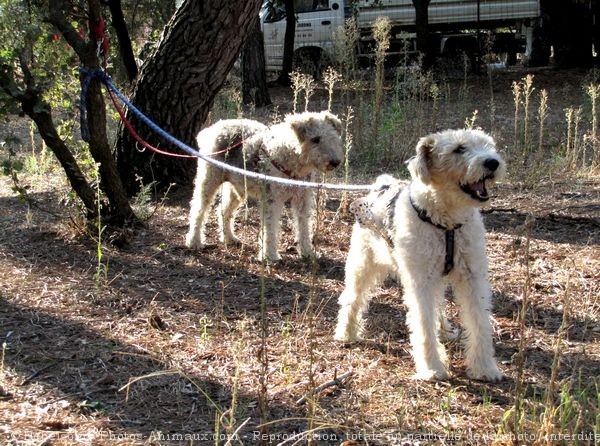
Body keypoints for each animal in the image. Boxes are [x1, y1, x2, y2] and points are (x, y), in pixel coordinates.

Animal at [185, 111, 344, 262]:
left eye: (333, 137)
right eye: (315, 139)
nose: (335, 162)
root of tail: (211, 130)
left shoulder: (302, 199)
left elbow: (304, 227)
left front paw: (308, 253)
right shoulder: (272, 199)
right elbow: (270, 228)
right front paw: (269, 256)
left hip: (237, 188)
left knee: (223, 211)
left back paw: (229, 238)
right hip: (209, 180)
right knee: (198, 211)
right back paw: (194, 241)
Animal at [336, 127, 504, 382]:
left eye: (488, 145)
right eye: (459, 149)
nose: (492, 162)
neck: (447, 224)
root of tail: (381, 185)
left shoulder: (473, 278)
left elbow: (479, 323)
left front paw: (485, 368)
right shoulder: (420, 281)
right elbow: (424, 324)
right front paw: (432, 368)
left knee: (439, 304)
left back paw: (444, 329)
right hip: (363, 264)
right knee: (352, 298)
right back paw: (346, 333)